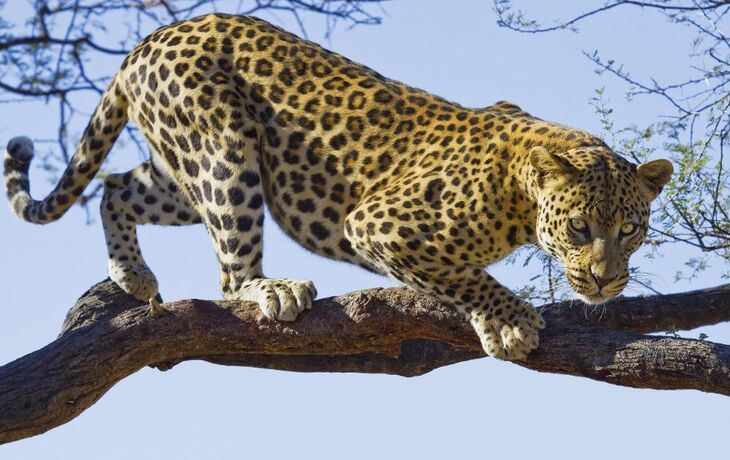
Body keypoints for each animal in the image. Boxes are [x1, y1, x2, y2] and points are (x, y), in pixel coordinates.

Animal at [3, 13, 673, 360]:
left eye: (630, 230)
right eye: (580, 227)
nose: (605, 281)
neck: (520, 197)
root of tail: (149, 38)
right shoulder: (379, 224)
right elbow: (465, 275)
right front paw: (507, 322)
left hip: (184, 167)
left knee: (117, 185)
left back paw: (133, 275)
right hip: (225, 151)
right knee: (229, 275)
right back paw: (272, 289)